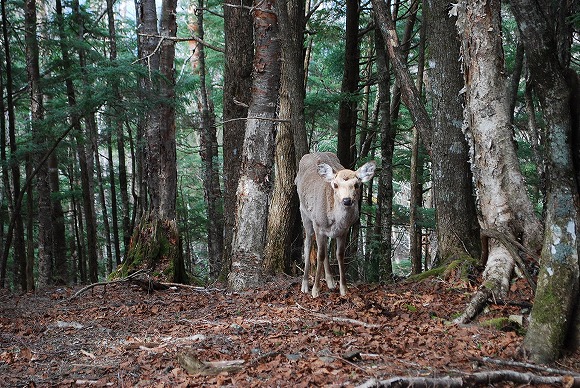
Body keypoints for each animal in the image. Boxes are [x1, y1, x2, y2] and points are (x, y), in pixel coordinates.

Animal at [294, 152, 376, 298]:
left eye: (357, 184)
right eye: (336, 185)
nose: (347, 200)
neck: (335, 220)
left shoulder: (344, 230)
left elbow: (339, 254)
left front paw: (344, 289)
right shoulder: (318, 225)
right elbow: (320, 254)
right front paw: (315, 290)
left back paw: (331, 281)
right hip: (304, 213)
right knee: (308, 244)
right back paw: (304, 285)